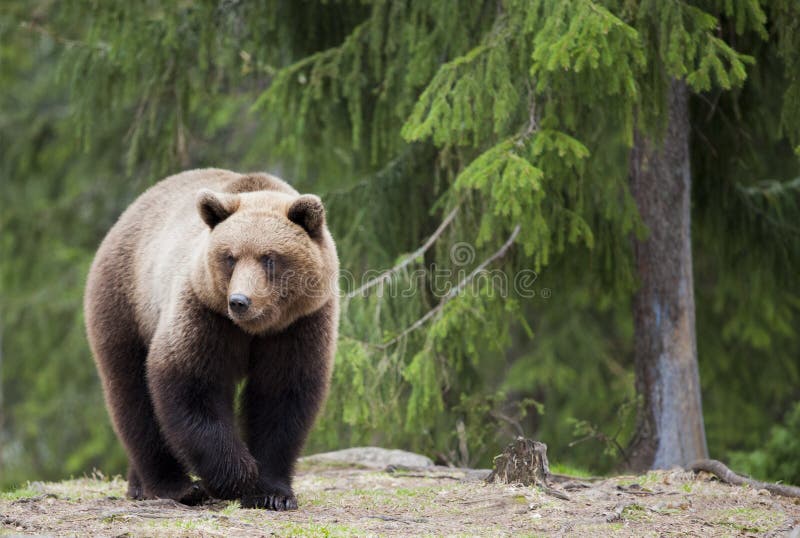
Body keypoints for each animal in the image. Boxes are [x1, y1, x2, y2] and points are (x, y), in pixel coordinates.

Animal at [83, 170, 338, 508]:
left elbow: (282, 395)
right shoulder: (204, 314)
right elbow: (191, 383)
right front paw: (238, 475)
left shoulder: (299, 325)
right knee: (131, 393)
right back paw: (173, 486)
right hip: (125, 303)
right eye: (230, 257)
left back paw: (140, 485)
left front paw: (273, 493)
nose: (240, 301)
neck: (254, 329)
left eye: (269, 258)